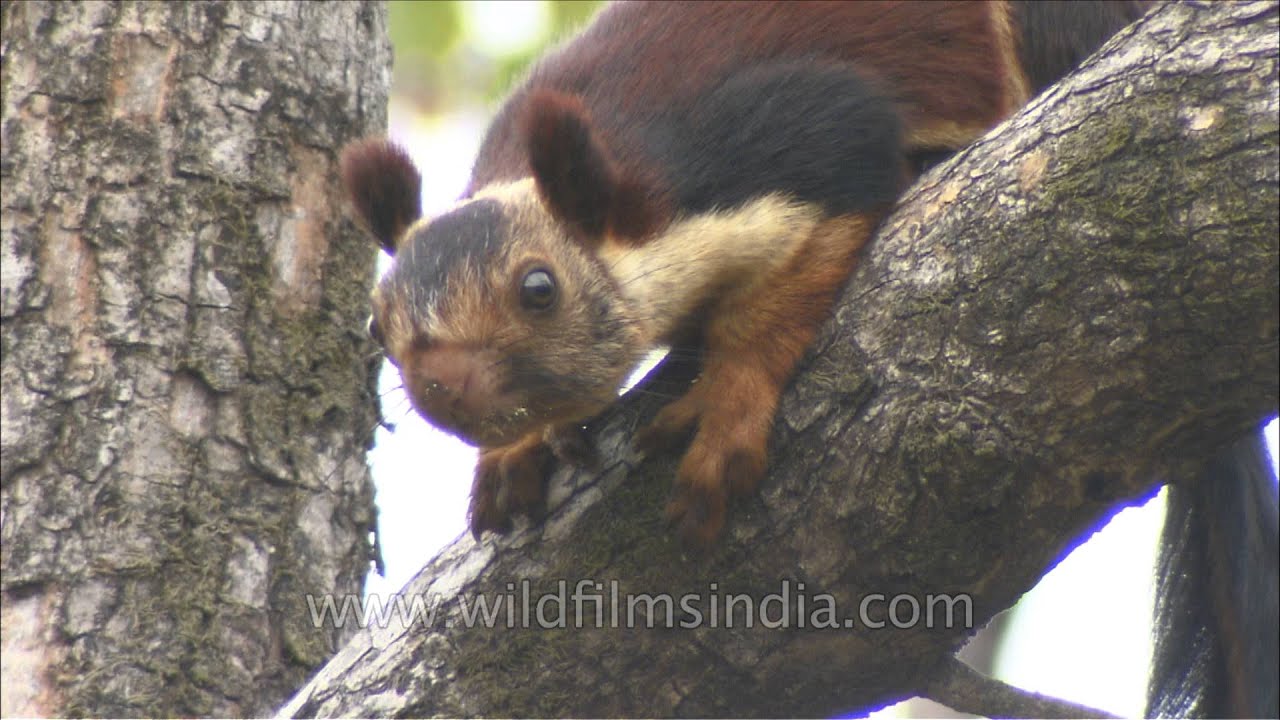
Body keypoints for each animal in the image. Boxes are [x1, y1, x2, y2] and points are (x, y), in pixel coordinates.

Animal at [341, 3, 1276, 715]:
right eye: (378, 325)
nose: (443, 384)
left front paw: (726, 404)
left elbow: (795, 268)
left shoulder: (800, 140)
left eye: (539, 288)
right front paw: (518, 448)